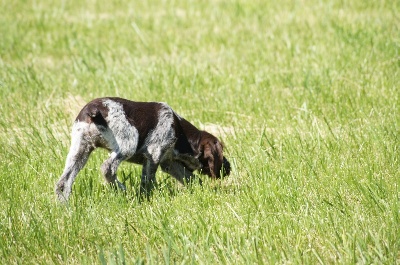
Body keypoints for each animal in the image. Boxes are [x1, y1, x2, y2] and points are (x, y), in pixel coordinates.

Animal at [54, 97, 230, 200]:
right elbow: (147, 182)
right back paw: (122, 190)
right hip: (128, 143)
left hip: (80, 150)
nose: (229, 168)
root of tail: (93, 110)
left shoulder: (168, 163)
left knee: (63, 182)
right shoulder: (154, 154)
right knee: (107, 168)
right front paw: (147, 199)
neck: (179, 131)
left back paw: (64, 206)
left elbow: (192, 179)